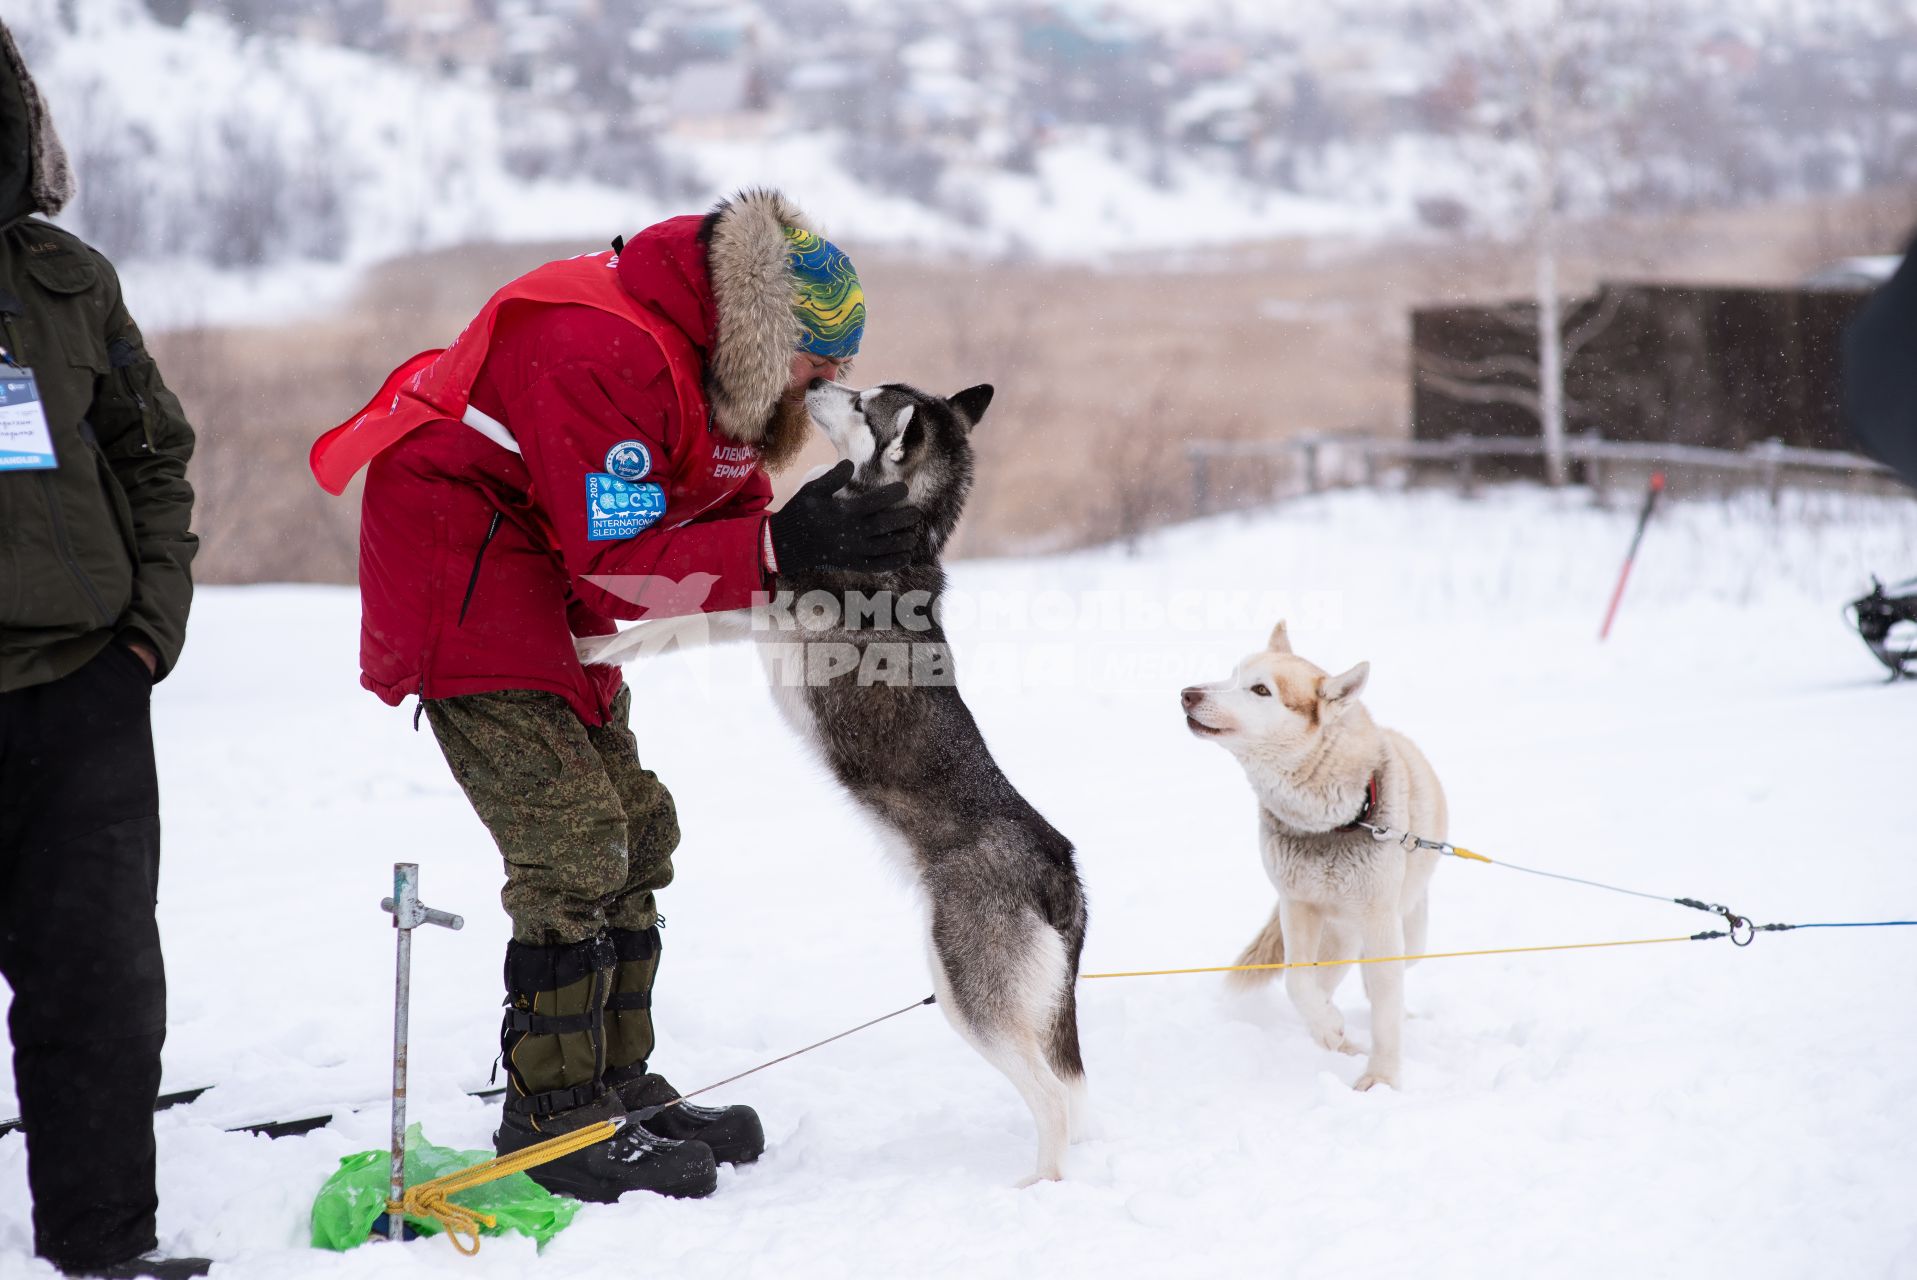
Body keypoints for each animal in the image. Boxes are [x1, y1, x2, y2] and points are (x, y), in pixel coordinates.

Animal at [1173, 620, 1441, 1088]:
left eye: (1261, 690)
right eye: (1232, 675)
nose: (1189, 693)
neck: (1335, 820)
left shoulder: (1380, 921)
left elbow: (1385, 1012)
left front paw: (1382, 1079)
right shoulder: (1296, 906)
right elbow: (1298, 982)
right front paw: (1330, 1028)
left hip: (1405, 930)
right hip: (1339, 932)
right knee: (1326, 979)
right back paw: (1335, 1032)